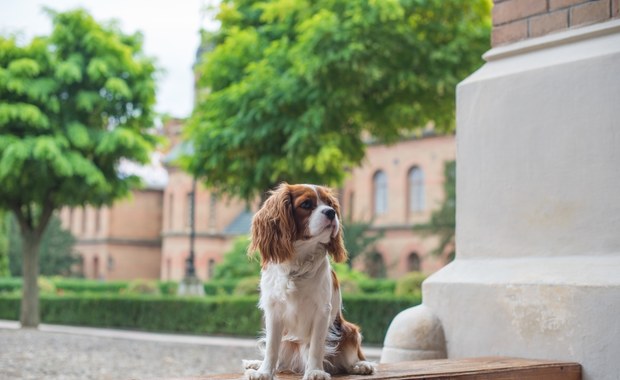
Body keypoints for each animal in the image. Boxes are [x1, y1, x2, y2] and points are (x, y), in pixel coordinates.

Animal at [245, 183, 376, 378]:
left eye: (330, 204)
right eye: (306, 204)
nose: (331, 212)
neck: (298, 262)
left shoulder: (322, 311)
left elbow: (316, 346)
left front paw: (315, 371)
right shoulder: (274, 310)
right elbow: (272, 347)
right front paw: (265, 372)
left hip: (349, 330)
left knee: (352, 357)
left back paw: (360, 365)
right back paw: (257, 364)